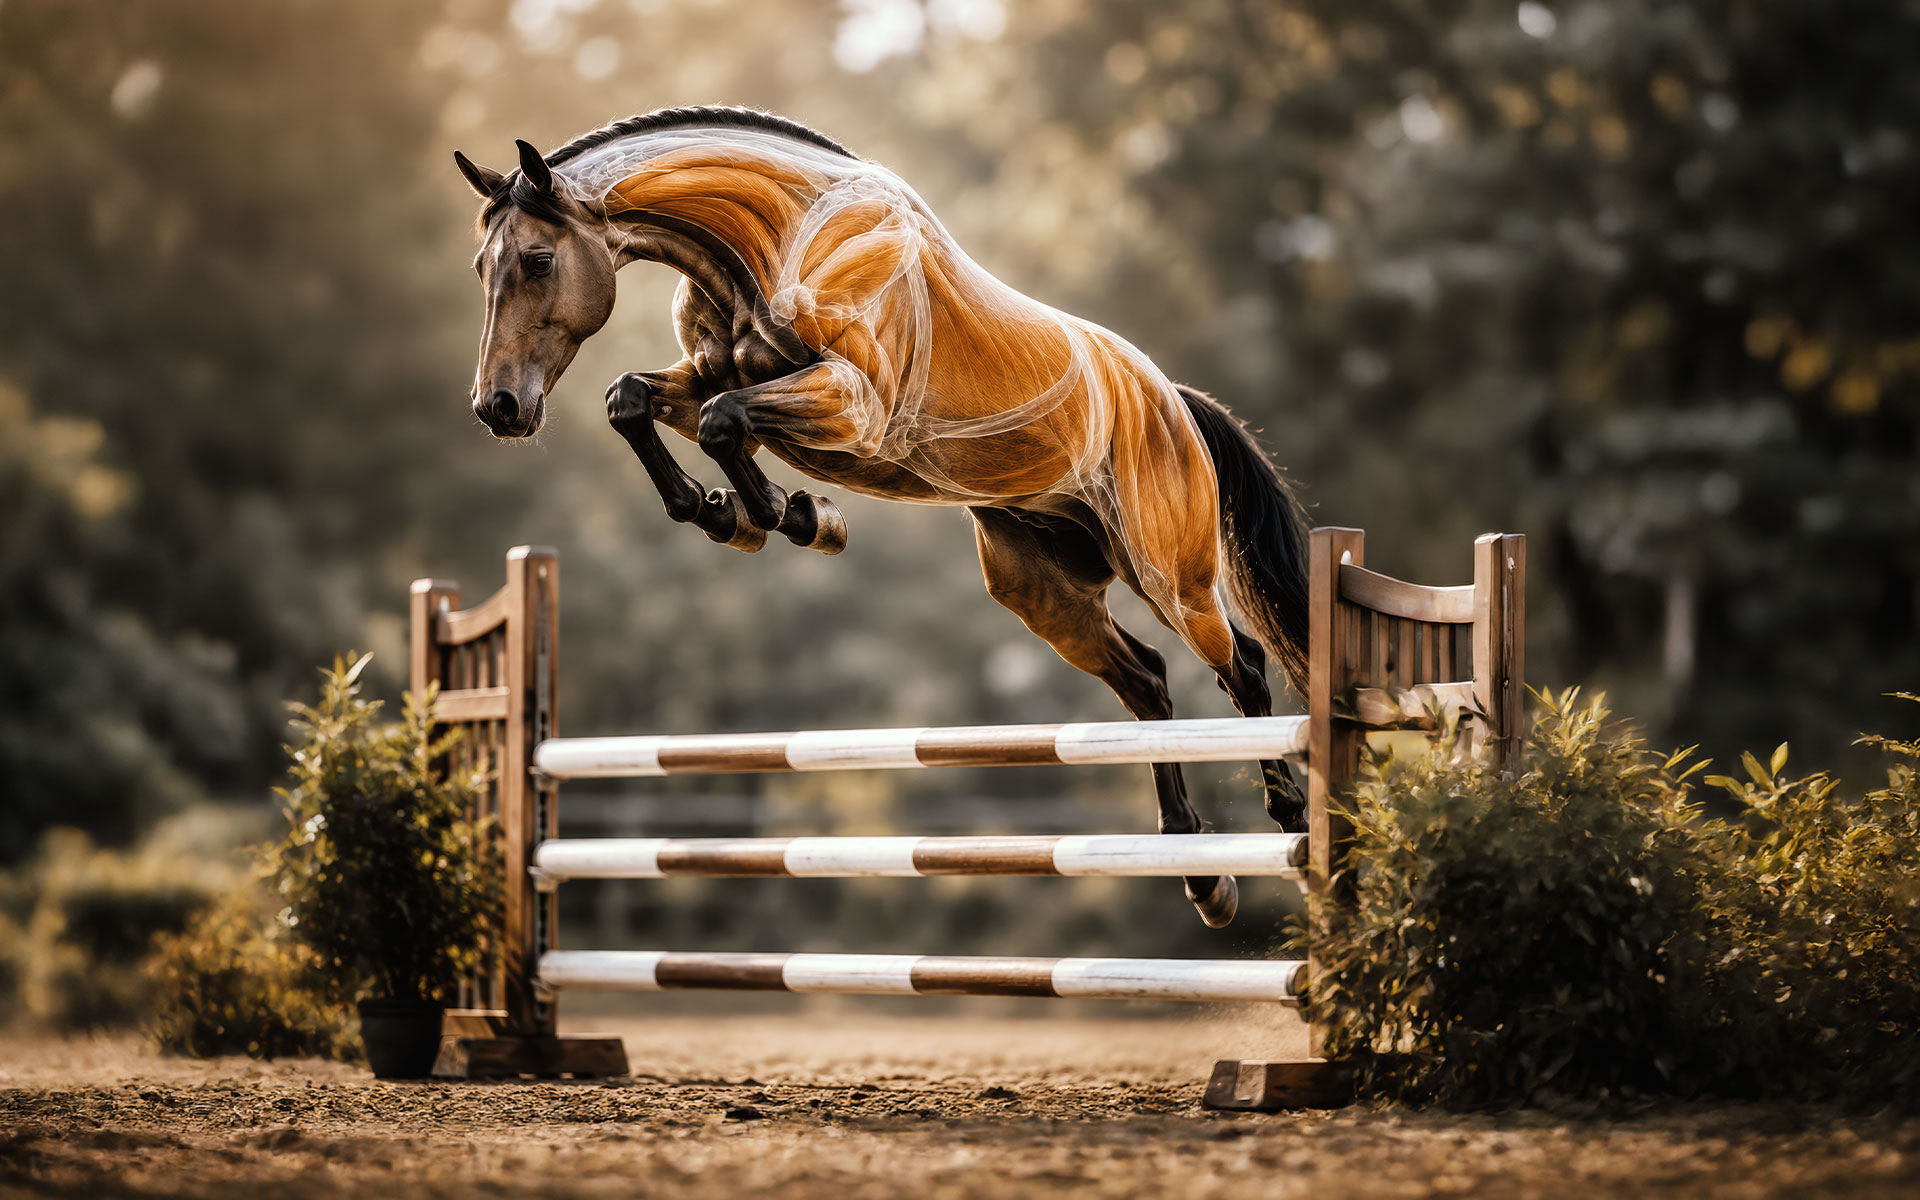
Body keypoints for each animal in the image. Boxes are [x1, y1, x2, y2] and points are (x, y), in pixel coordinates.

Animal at [454, 106, 1311, 928]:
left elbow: (724, 424)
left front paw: (792, 514)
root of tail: (1173, 399)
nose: (498, 408)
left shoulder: (850, 402)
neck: (769, 239)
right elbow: (634, 400)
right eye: (481, 269)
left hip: (1169, 572)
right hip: (1042, 589)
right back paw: (1200, 874)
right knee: (1148, 682)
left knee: (1240, 667)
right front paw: (728, 512)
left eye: (538, 261)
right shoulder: (707, 376)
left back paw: (1292, 820)